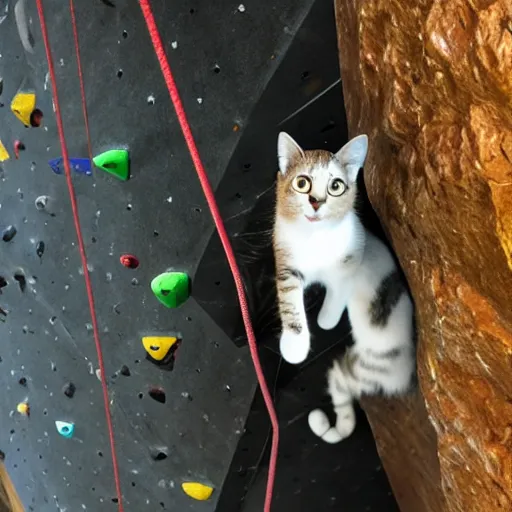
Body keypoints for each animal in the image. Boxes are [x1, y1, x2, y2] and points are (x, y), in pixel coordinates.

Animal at [272, 134, 416, 442]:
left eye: (335, 186)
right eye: (302, 183)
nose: (316, 202)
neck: (314, 238)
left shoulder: (351, 261)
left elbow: (338, 292)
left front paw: (326, 319)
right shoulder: (286, 263)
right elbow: (290, 303)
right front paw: (295, 344)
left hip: (367, 366)